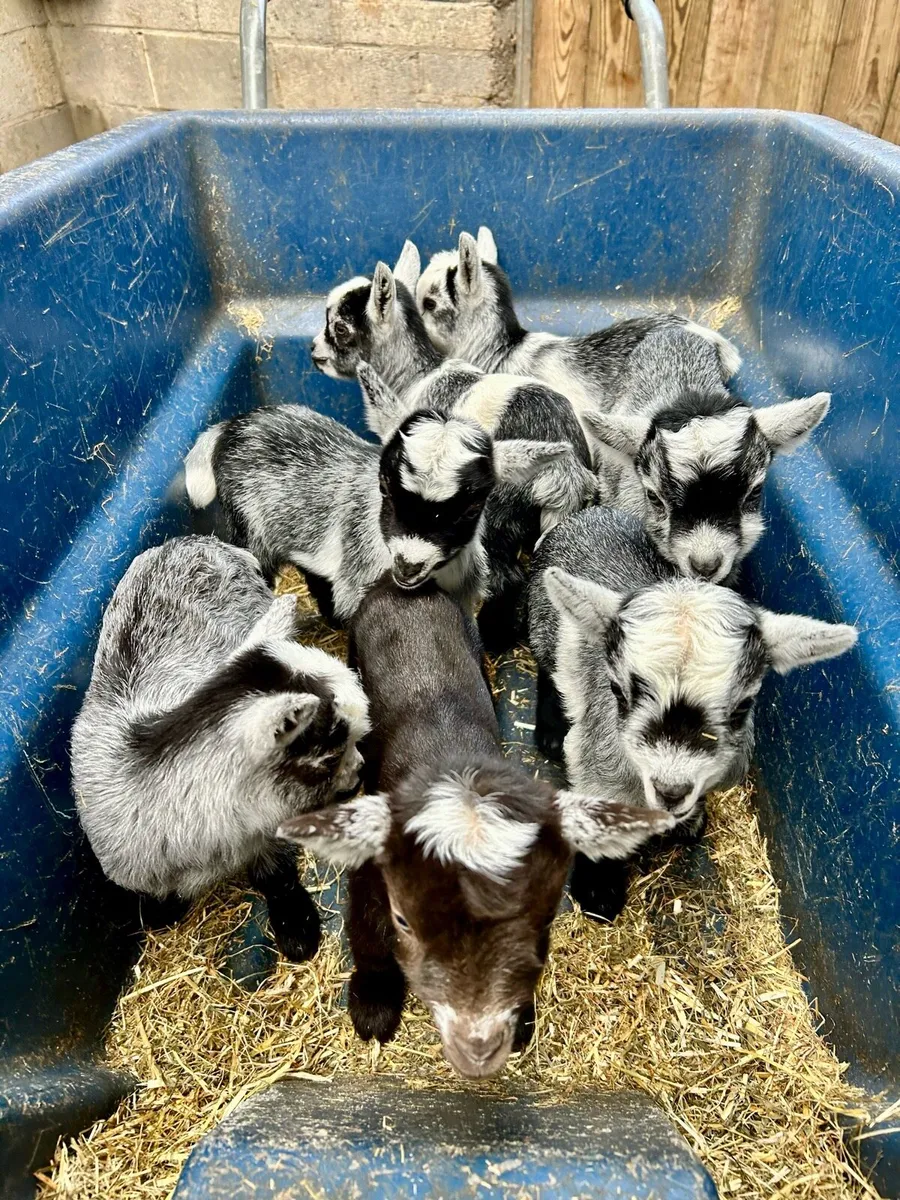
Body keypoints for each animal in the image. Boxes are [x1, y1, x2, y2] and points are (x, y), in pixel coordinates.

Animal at [71, 536, 370, 962]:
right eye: (329, 752)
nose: (360, 771)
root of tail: (191, 541)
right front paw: (160, 914)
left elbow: (275, 874)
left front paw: (297, 929)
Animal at [527, 507, 858, 921]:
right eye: (619, 692)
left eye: (744, 706)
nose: (671, 790)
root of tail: (589, 514)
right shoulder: (597, 758)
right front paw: (599, 892)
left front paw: (688, 825)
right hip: (544, 625)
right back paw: (550, 731)